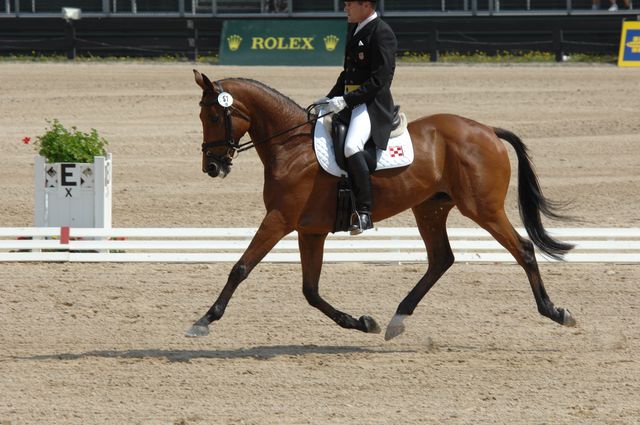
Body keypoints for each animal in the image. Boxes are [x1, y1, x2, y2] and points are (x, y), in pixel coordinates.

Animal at [184, 70, 576, 342]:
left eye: (215, 117)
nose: (212, 167)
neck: (291, 146)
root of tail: (488, 130)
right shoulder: (310, 230)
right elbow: (311, 291)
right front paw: (362, 322)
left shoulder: (279, 220)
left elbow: (241, 267)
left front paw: (204, 320)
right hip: (430, 208)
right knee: (441, 259)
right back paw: (396, 320)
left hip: (483, 208)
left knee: (522, 249)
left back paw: (555, 312)